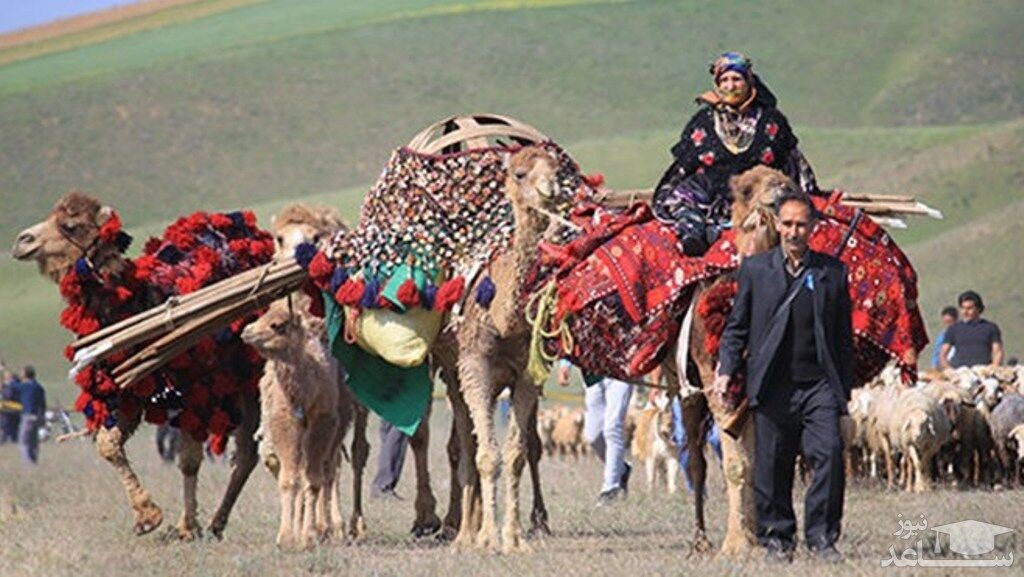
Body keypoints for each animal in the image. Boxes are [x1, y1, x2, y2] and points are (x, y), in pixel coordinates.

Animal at [11, 191, 260, 541]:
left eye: (70, 225)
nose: (22, 240)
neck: (137, 305)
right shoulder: (127, 391)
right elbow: (108, 445)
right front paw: (147, 516)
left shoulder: (196, 392)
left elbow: (189, 460)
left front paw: (186, 527)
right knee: (247, 453)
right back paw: (217, 523)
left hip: (251, 378)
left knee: (248, 451)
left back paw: (218, 521)